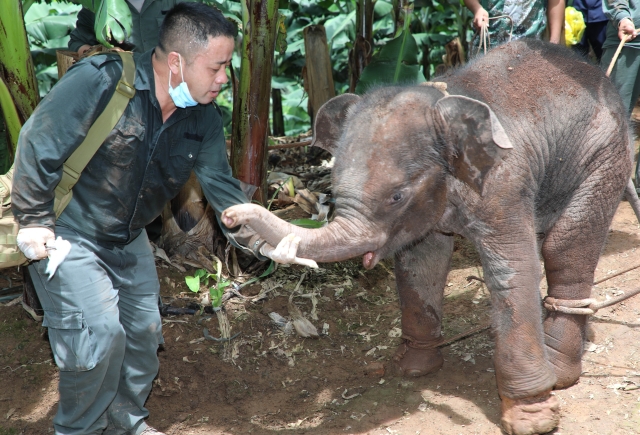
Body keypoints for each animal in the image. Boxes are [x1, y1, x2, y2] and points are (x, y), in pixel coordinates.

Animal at [222, 39, 632, 434]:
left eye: (396, 196)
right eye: (333, 190)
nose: (228, 216)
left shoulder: (503, 181)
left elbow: (513, 270)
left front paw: (532, 418)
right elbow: (422, 262)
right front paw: (414, 368)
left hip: (606, 155)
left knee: (565, 245)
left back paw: (561, 373)